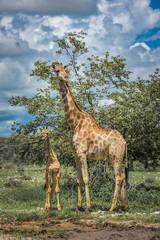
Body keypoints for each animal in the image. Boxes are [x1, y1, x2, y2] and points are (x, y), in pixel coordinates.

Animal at [52, 62, 127, 213]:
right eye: (57, 70)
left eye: (65, 70)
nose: (66, 78)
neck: (74, 124)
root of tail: (124, 141)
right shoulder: (76, 153)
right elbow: (78, 179)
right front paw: (78, 207)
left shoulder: (82, 152)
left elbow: (86, 179)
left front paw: (87, 207)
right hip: (115, 157)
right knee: (122, 176)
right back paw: (121, 207)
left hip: (115, 156)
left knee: (118, 177)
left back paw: (112, 207)